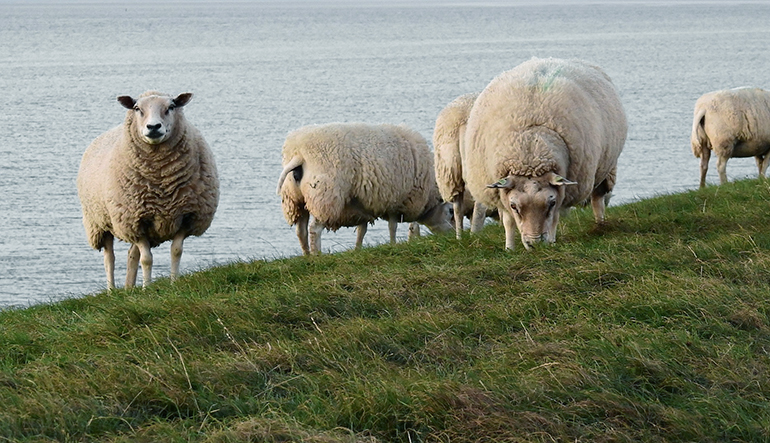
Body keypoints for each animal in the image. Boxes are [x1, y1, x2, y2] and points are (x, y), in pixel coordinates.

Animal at [75, 92, 218, 290]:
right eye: (137, 109)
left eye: (171, 107)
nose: (153, 127)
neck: (161, 181)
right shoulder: (134, 222)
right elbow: (147, 259)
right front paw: (147, 288)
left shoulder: (187, 216)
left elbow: (175, 251)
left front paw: (173, 284)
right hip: (100, 223)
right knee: (109, 257)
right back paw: (112, 290)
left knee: (131, 254)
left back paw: (129, 288)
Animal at [274, 121, 450, 255]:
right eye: (449, 212)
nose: (449, 237)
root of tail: (299, 155)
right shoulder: (395, 200)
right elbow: (392, 227)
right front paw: (393, 245)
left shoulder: (362, 205)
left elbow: (362, 230)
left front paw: (357, 250)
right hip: (324, 196)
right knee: (314, 229)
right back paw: (317, 255)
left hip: (295, 200)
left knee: (301, 230)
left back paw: (307, 255)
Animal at [462, 56, 624, 250]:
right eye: (514, 206)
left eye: (551, 202)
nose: (535, 243)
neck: (530, 149)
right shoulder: (499, 193)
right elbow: (508, 221)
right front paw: (509, 248)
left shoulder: (562, 193)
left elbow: (555, 218)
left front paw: (552, 242)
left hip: (607, 168)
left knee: (597, 198)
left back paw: (600, 224)